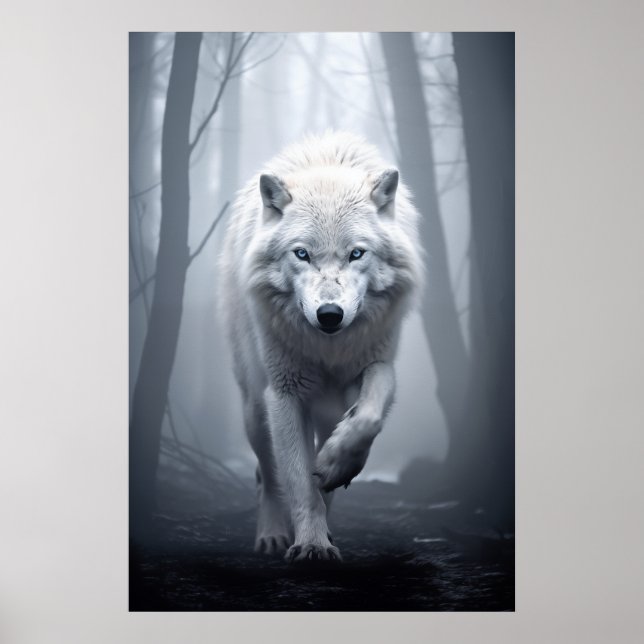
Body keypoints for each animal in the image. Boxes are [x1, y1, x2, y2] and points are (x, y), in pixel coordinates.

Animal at [219, 131, 423, 563]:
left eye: (356, 253)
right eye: (302, 254)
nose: (330, 315)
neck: (329, 349)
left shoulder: (375, 363)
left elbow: (366, 419)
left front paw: (334, 466)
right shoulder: (285, 393)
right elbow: (297, 479)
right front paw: (311, 544)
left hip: (324, 408)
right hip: (254, 409)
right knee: (266, 474)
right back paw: (273, 534)